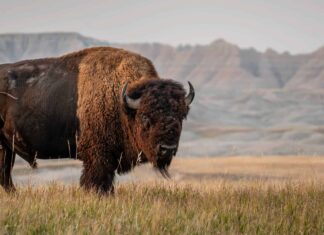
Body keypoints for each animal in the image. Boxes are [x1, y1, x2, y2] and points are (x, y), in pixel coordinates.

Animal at [0, 46, 194, 194]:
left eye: (181, 116)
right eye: (145, 116)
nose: (167, 149)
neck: (122, 103)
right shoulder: (98, 158)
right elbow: (96, 182)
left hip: (7, 147)